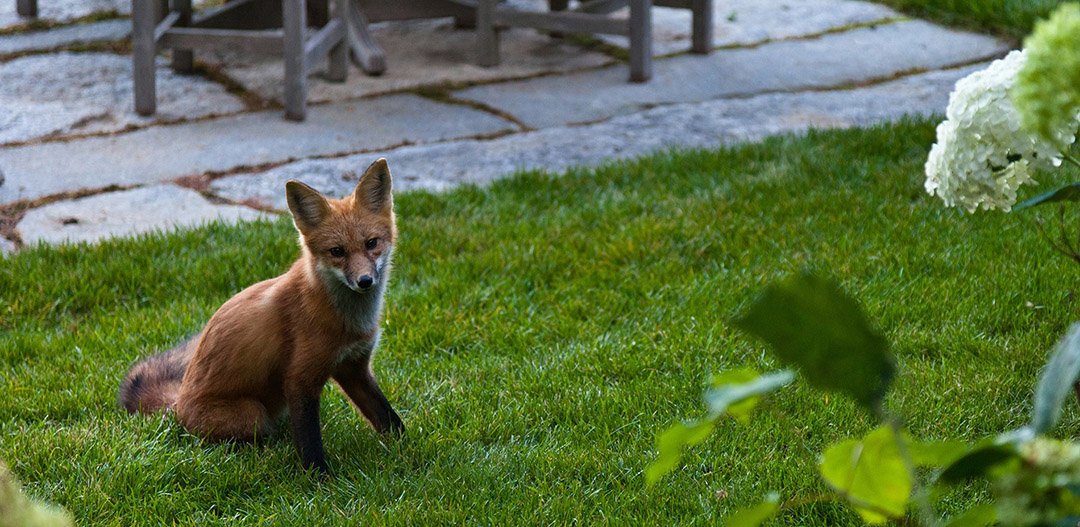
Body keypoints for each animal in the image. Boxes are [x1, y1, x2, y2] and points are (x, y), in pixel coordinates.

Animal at [118, 158, 403, 470]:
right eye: (337, 251)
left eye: (371, 243)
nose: (365, 281)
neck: (348, 319)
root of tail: (178, 405)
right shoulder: (299, 379)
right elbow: (310, 442)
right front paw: (319, 477)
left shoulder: (354, 368)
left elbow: (387, 416)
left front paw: (408, 446)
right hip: (253, 414)